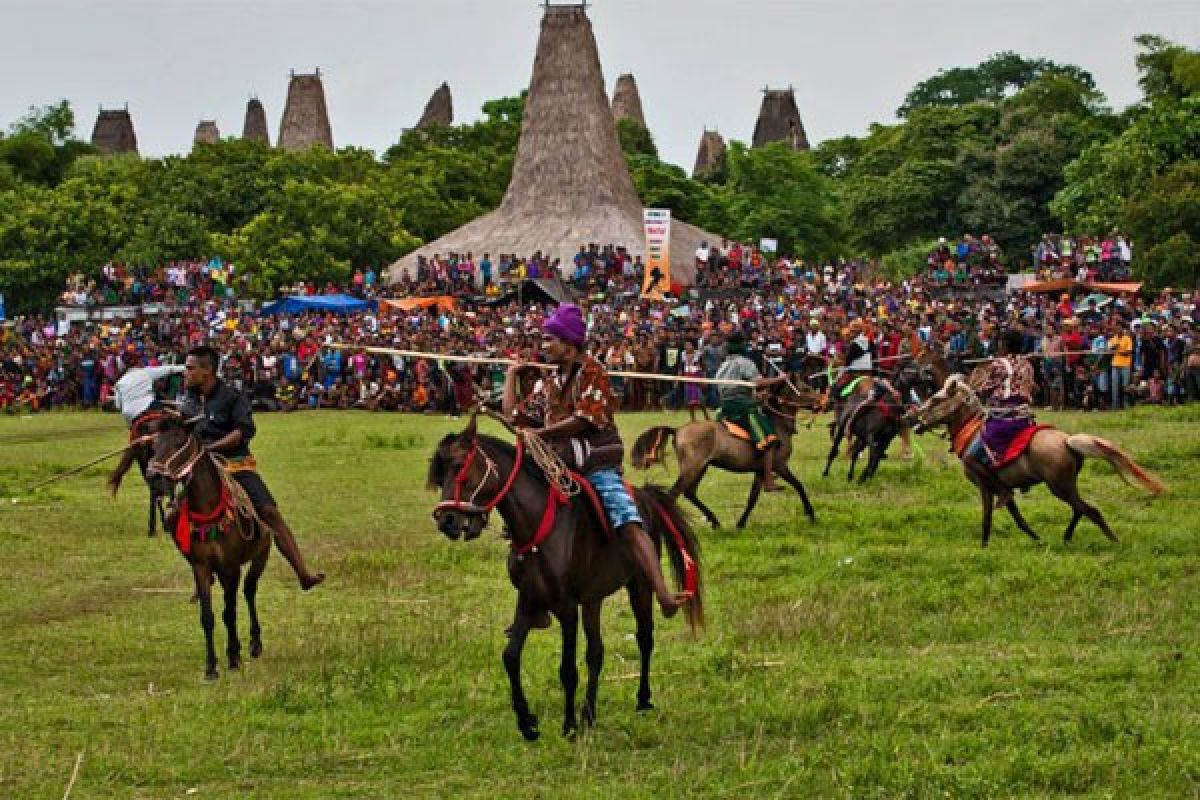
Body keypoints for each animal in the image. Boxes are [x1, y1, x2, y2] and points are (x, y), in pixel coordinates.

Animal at [144, 412, 271, 681]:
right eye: (154, 444)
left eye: (178, 442)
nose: (153, 477)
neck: (209, 511)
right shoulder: (202, 567)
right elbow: (208, 617)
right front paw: (211, 666)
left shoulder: (231, 567)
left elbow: (229, 612)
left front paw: (233, 657)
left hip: (260, 555)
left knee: (249, 591)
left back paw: (254, 643)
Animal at [427, 417, 700, 743]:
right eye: (439, 473)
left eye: (459, 465)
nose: (447, 521)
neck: (539, 524)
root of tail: (646, 498)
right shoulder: (529, 599)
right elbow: (510, 657)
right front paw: (527, 722)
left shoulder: (567, 607)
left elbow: (567, 669)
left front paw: (568, 725)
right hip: (593, 598)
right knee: (596, 652)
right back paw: (589, 715)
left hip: (640, 586)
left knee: (645, 638)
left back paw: (642, 698)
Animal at [628, 376, 825, 532]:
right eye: (805, 389)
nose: (823, 403)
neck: (778, 423)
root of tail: (677, 431)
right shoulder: (780, 465)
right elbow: (799, 485)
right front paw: (811, 514)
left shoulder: (760, 471)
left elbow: (752, 499)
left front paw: (741, 524)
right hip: (693, 468)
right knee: (673, 495)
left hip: (701, 467)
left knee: (690, 493)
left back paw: (714, 521)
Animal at [907, 374, 1161, 546]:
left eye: (936, 399)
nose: (913, 419)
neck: (970, 433)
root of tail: (1067, 441)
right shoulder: (999, 487)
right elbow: (1016, 516)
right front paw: (1035, 538)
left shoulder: (984, 484)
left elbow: (987, 517)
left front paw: (984, 545)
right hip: (1066, 486)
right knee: (1080, 509)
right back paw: (1067, 537)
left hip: (1059, 486)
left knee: (1090, 510)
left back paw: (1112, 540)